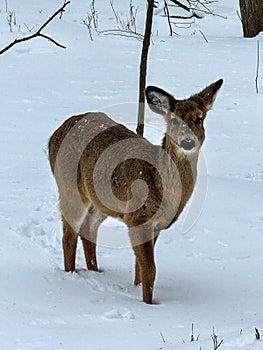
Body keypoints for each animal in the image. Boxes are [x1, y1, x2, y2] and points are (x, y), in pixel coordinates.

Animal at [48, 79, 224, 304]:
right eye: (174, 121)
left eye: (199, 119)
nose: (187, 141)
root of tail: (53, 135)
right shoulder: (137, 218)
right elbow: (150, 269)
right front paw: (148, 303)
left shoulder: (155, 225)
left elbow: (141, 268)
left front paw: (137, 289)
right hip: (68, 186)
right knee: (69, 234)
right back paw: (71, 275)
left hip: (101, 201)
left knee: (88, 229)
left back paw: (95, 271)